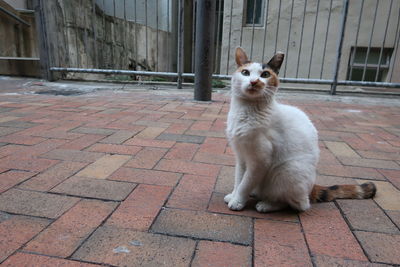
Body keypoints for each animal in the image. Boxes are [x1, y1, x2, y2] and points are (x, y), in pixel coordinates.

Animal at [223, 46, 376, 214]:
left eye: (265, 74)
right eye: (245, 72)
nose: (254, 81)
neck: (245, 111)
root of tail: (311, 189)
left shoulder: (260, 161)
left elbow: (246, 183)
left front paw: (238, 201)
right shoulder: (241, 156)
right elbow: (239, 180)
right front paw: (233, 195)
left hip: (287, 171)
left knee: (298, 204)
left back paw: (267, 204)